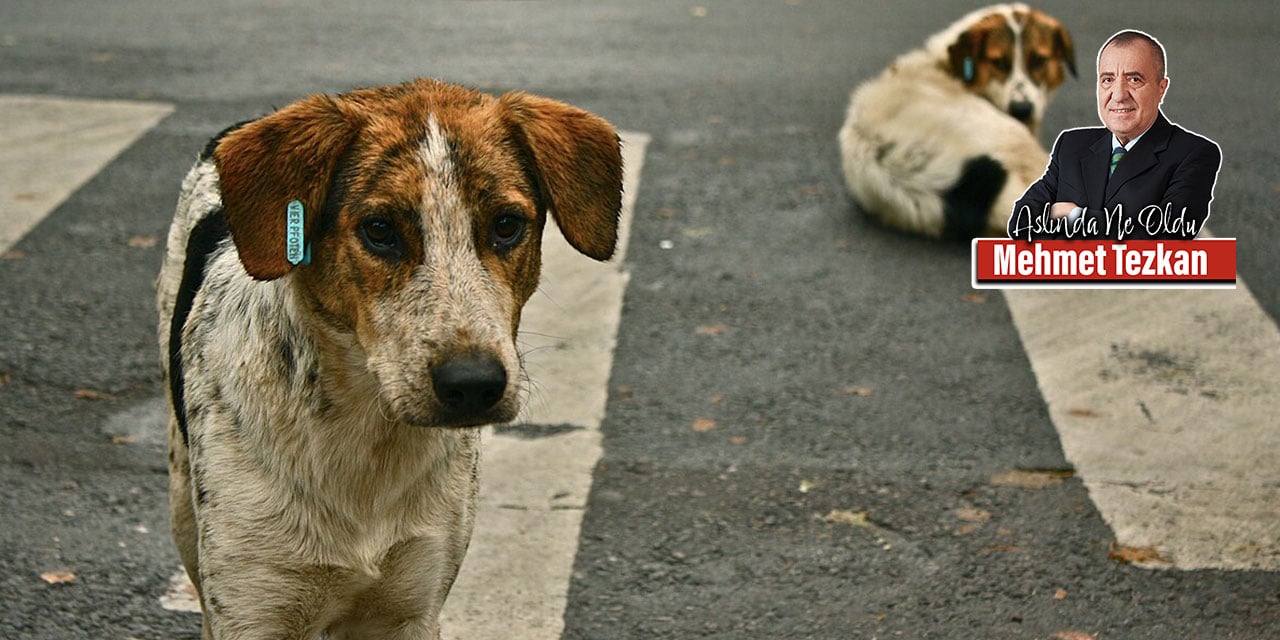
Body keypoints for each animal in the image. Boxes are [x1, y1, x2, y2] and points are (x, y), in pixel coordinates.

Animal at [154, 80, 624, 640]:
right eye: (379, 229)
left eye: (507, 225)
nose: (473, 384)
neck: (367, 438)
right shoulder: (254, 609)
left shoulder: (410, 607)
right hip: (183, 503)